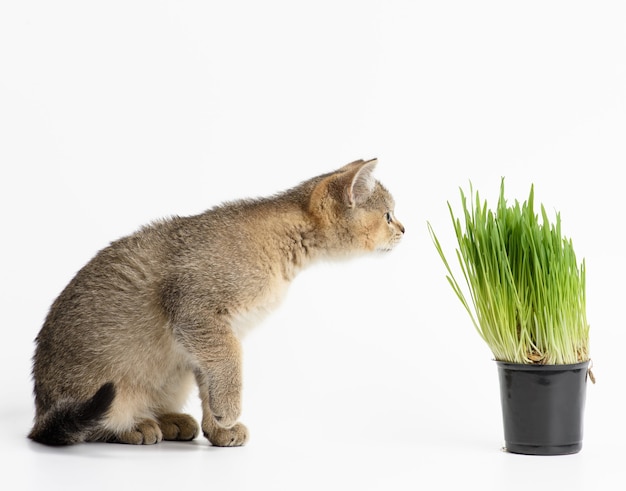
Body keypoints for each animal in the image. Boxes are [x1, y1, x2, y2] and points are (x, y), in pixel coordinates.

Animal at [29, 158, 402, 446]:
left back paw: (168, 420)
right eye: (388, 216)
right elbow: (229, 366)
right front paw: (229, 412)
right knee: (89, 426)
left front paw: (219, 429)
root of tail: (39, 416)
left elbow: (210, 381)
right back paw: (135, 425)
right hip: (103, 390)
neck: (282, 243)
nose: (404, 229)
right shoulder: (198, 314)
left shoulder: (209, 337)